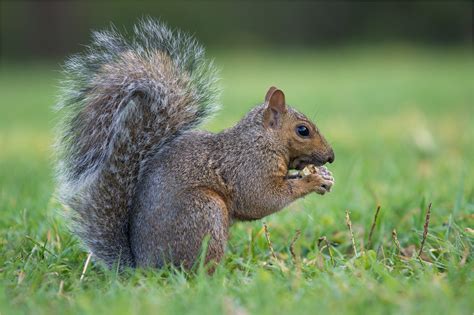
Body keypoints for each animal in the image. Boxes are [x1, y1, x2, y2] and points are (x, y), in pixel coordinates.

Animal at [55, 19, 336, 272]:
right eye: (303, 130)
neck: (261, 140)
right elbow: (262, 199)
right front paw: (311, 181)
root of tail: (145, 267)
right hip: (204, 211)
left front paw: (323, 176)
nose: (331, 156)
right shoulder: (248, 168)